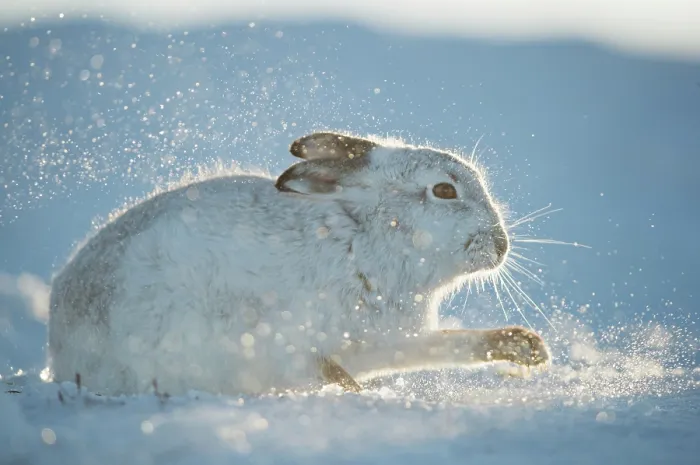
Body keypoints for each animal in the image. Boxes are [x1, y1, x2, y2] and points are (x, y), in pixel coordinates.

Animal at [47, 131, 550, 397]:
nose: (501, 245)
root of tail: (61, 352)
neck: (363, 237)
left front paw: (529, 350)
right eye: (444, 191)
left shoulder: (384, 341)